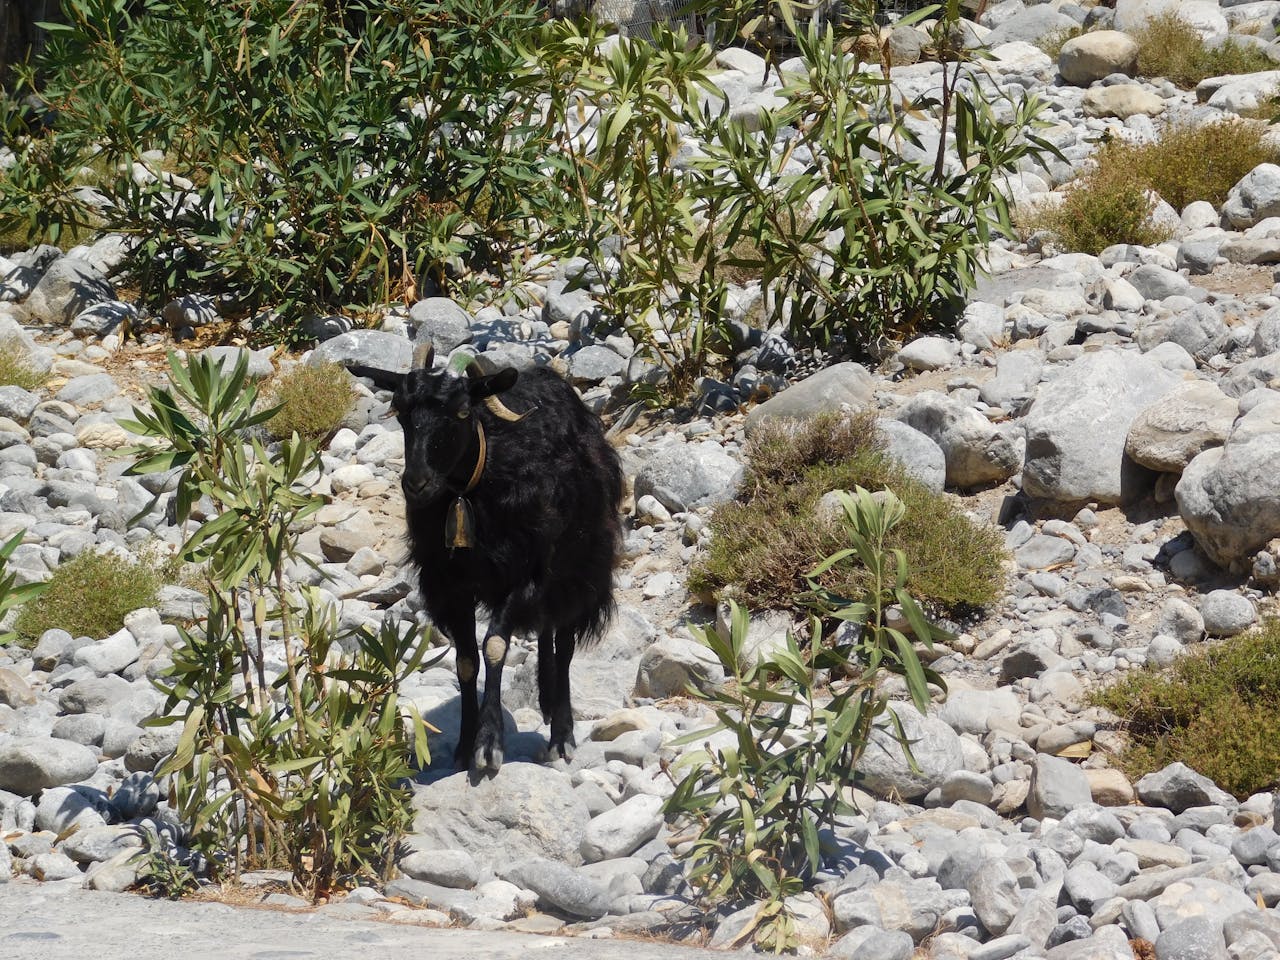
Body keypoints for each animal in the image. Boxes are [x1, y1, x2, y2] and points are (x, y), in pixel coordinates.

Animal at [389, 343, 623, 773]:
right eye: (401, 412)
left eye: (463, 412)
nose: (416, 483)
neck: (471, 491)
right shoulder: (449, 586)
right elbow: (466, 660)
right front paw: (465, 745)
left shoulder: (528, 576)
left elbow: (495, 645)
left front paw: (489, 745)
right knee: (546, 632)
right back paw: (546, 700)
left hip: (579, 570)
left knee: (564, 643)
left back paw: (561, 735)